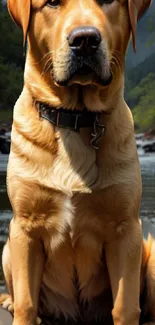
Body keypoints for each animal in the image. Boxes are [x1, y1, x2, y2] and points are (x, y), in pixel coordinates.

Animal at [0, 0, 153, 322]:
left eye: (108, 1)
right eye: (52, 2)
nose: (85, 40)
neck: (75, 117)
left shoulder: (126, 230)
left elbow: (124, 306)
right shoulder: (24, 228)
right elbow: (27, 302)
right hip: (7, 249)